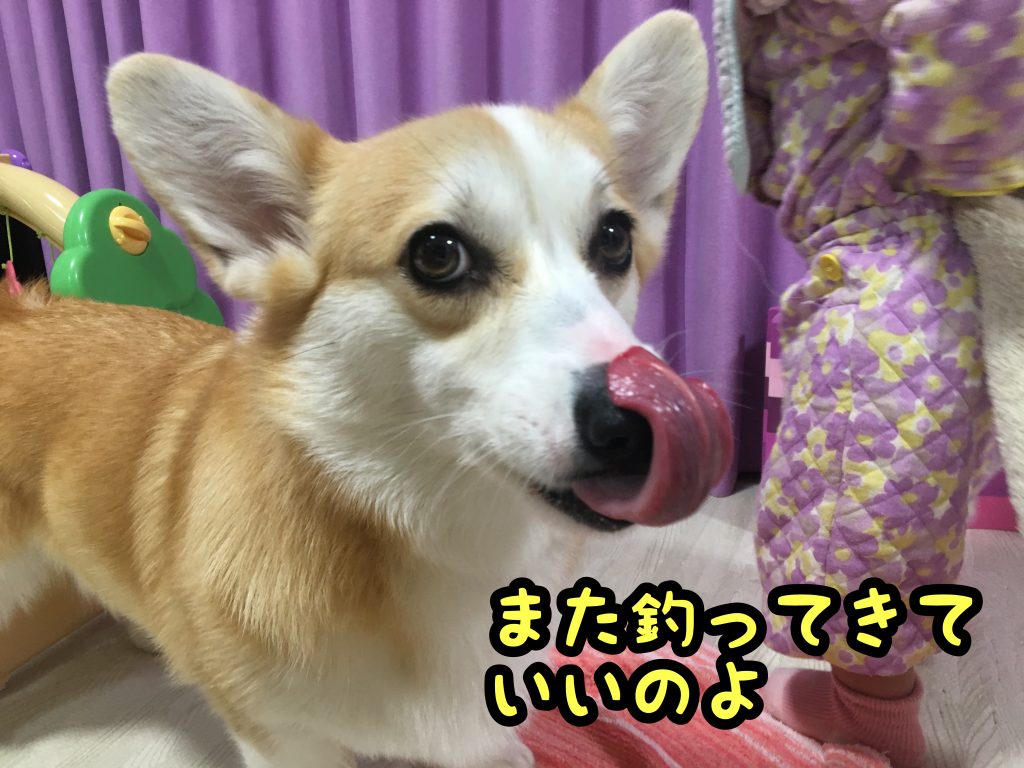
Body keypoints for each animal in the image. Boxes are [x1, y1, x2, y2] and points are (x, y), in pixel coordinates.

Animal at [0, 11, 723, 767]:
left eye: (614, 238)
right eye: (438, 253)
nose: (641, 425)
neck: (438, 536)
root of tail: (18, 310)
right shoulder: (283, 740)